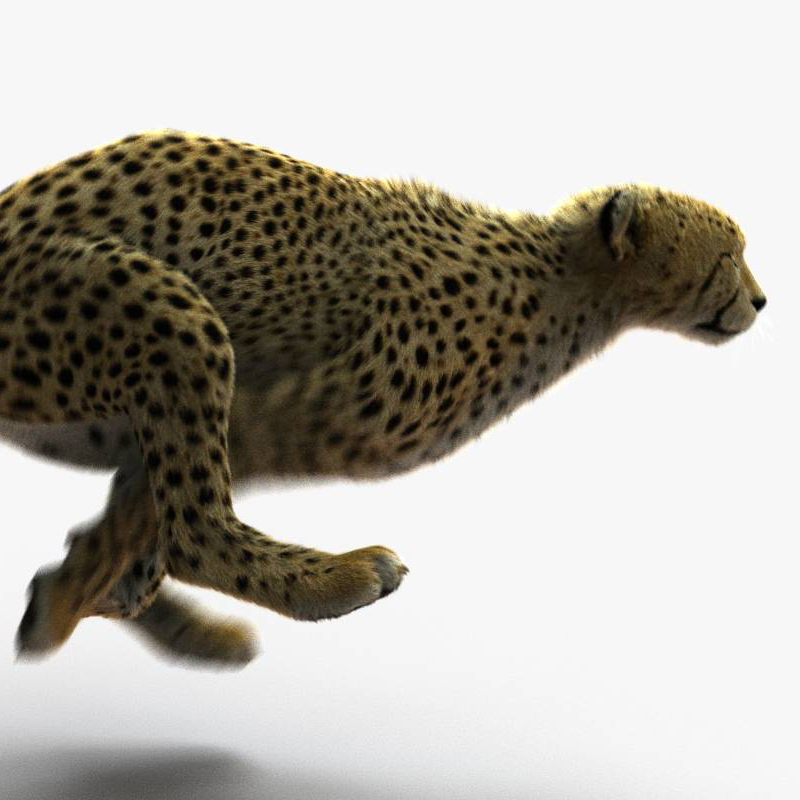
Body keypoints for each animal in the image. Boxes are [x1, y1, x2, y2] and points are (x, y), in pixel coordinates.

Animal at [0, 131, 766, 667]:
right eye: (729, 255)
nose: (761, 301)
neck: (566, 281)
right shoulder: (270, 416)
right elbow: (145, 524)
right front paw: (65, 603)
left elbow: (118, 527)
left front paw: (59, 601)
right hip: (168, 314)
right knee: (195, 529)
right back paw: (338, 579)